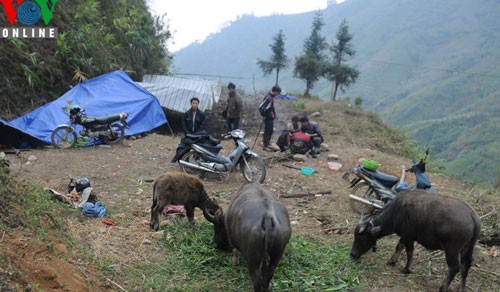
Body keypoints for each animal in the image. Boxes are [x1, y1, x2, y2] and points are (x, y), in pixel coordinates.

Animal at [350, 190, 482, 290]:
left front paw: (407, 269)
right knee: (466, 265)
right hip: (467, 248)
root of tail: (472, 215)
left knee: (455, 267)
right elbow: (399, 246)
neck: (397, 211)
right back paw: (461, 288)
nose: (352, 254)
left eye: (360, 237)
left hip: (452, 249)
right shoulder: (404, 236)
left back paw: (443, 287)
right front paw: (392, 261)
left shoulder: (409, 237)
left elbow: (409, 252)